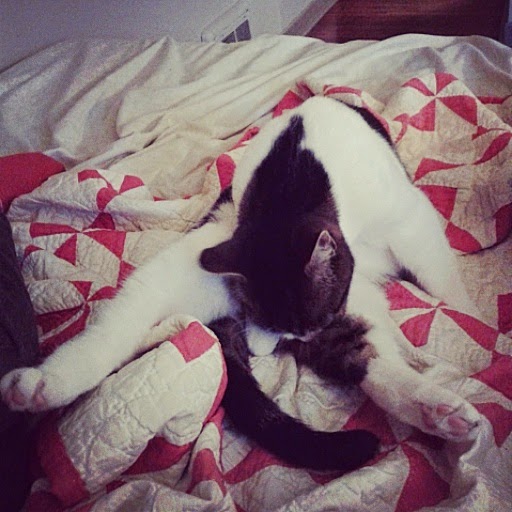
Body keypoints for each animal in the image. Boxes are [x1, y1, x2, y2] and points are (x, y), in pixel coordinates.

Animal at [1, 96, 482, 471]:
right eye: (265, 322)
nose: (261, 347)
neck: (293, 173)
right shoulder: (405, 219)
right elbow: (444, 279)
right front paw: (477, 319)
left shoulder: (407, 223)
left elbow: (442, 279)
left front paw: (467, 313)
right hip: (186, 269)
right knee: (114, 331)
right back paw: (40, 385)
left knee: (368, 361)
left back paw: (439, 411)